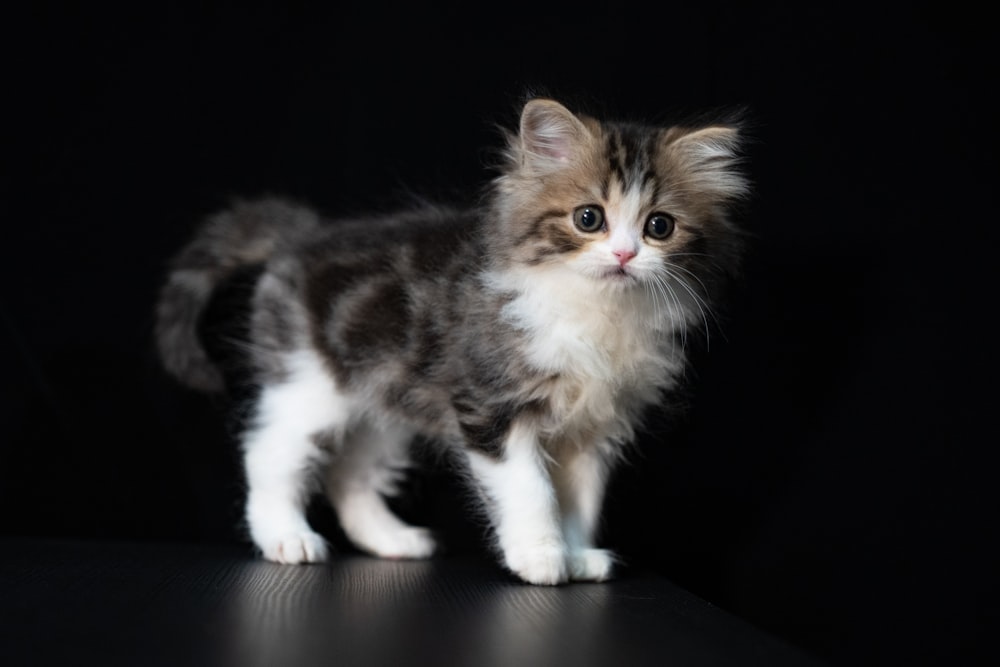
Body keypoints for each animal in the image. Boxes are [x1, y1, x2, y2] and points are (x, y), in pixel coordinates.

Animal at [154, 98, 752, 584]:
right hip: (310, 382)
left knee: (350, 474)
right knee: (270, 451)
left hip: (385, 405)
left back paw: (392, 541)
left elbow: (580, 500)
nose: (625, 255)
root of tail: (303, 238)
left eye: (659, 226)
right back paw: (286, 537)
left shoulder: (594, 429)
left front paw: (579, 557)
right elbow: (532, 489)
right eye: (589, 218)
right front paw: (541, 558)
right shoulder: (493, 405)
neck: (597, 311)